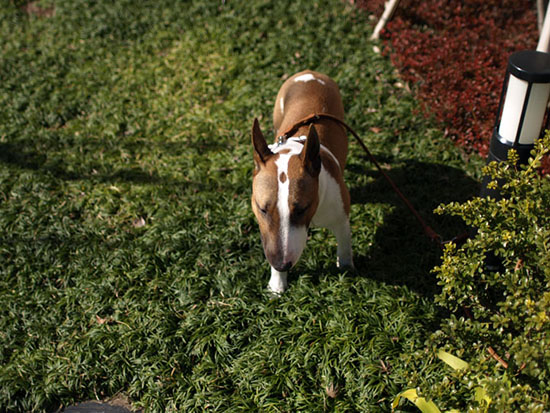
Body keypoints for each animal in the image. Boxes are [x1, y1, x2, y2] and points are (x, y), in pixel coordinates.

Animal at [253, 70, 354, 292]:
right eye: (262, 209)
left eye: (301, 209)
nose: (281, 264)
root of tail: (309, 73)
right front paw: (277, 284)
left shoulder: (341, 219)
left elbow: (344, 246)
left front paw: (346, 268)